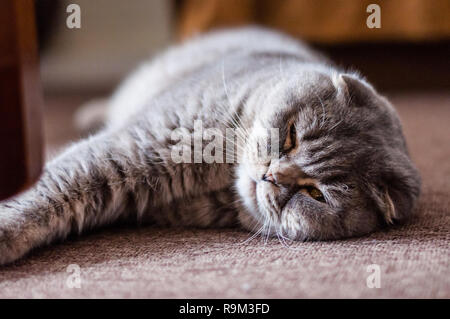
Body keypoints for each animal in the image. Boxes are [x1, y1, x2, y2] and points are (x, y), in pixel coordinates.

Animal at [0, 26, 422, 264]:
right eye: (291, 136)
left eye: (314, 194)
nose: (272, 175)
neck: (217, 176)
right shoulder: (133, 144)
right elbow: (48, 190)